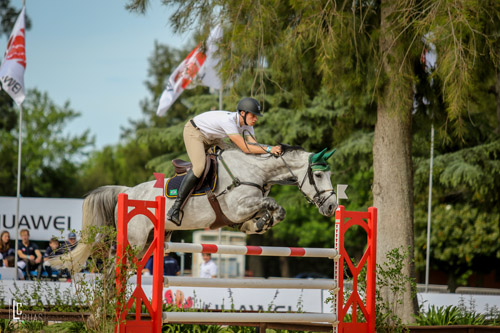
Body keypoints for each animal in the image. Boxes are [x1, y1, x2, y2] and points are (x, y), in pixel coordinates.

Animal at [49, 144, 336, 272]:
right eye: (319, 175)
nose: (333, 206)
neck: (256, 170)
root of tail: (127, 192)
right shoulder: (237, 206)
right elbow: (274, 206)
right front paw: (263, 220)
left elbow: (271, 212)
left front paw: (259, 223)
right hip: (134, 242)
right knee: (112, 272)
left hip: (149, 241)